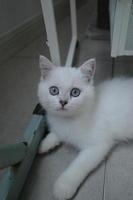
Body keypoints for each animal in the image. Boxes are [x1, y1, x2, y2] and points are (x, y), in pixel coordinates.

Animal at [37, 55, 133, 200]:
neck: (68, 120)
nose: (63, 102)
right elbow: (56, 134)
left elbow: (78, 166)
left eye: (75, 92)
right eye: (53, 90)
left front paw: (63, 187)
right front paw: (43, 144)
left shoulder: (98, 146)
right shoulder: (60, 127)